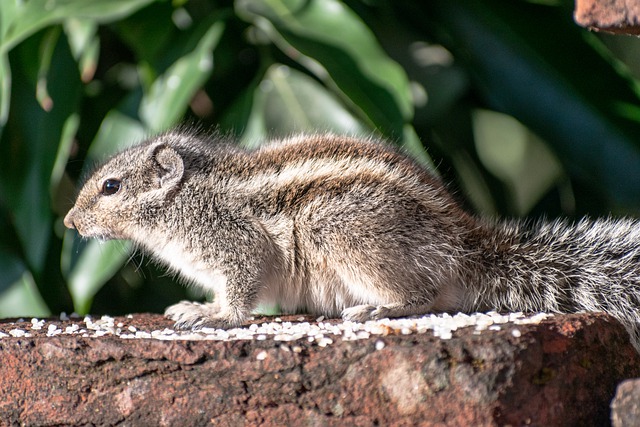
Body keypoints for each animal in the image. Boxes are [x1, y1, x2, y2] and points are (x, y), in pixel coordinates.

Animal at [62, 130, 640, 352]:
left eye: (111, 186)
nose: (68, 223)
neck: (190, 196)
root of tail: (469, 243)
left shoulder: (235, 244)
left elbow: (240, 296)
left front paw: (210, 315)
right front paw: (194, 306)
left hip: (338, 229)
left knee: (425, 297)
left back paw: (378, 309)